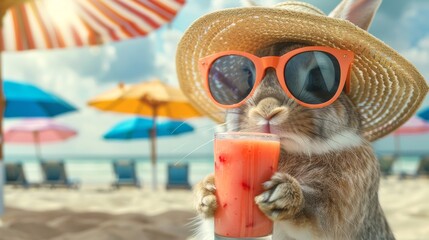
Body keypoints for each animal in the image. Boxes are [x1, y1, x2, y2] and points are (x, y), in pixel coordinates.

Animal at [191, 0, 394, 240]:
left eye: (318, 77)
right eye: (247, 78)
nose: (267, 110)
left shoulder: (339, 208)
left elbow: (316, 213)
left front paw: (284, 195)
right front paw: (206, 192)